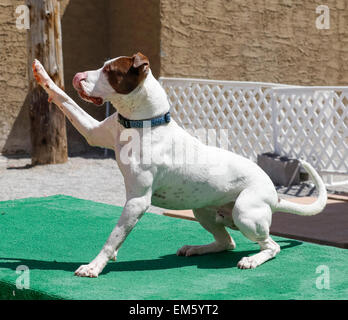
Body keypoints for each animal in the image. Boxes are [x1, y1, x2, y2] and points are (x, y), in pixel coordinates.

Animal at [31, 53, 328, 278]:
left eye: (109, 71)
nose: (78, 76)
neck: (143, 123)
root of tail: (274, 194)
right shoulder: (92, 132)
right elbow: (65, 100)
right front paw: (43, 74)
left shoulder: (137, 201)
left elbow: (113, 237)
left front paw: (94, 266)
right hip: (203, 211)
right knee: (227, 242)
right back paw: (197, 248)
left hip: (245, 212)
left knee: (271, 246)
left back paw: (252, 259)